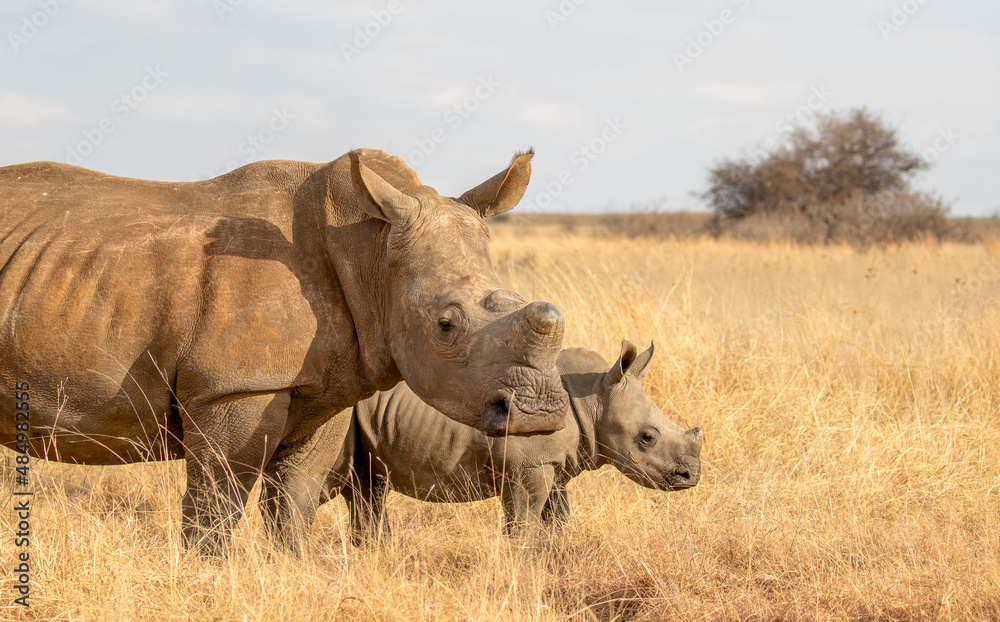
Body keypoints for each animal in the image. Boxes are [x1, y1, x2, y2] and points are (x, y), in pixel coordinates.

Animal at [0, 148, 570, 555]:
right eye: (446, 325)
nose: (539, 413)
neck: (370, 253)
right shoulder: (235, 386)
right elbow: (217, 499)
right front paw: (207, 575)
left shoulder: (328, 387)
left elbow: (294, 501)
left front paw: (290, 567)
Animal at [295, 341, 703, 544]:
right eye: (647, 438)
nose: (691, 477)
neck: (593, 396)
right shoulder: (528, 468)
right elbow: (522, 522)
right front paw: (522, 566)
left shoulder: (554, 465)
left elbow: (556, 518)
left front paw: (554, 556)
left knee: (367, 488)